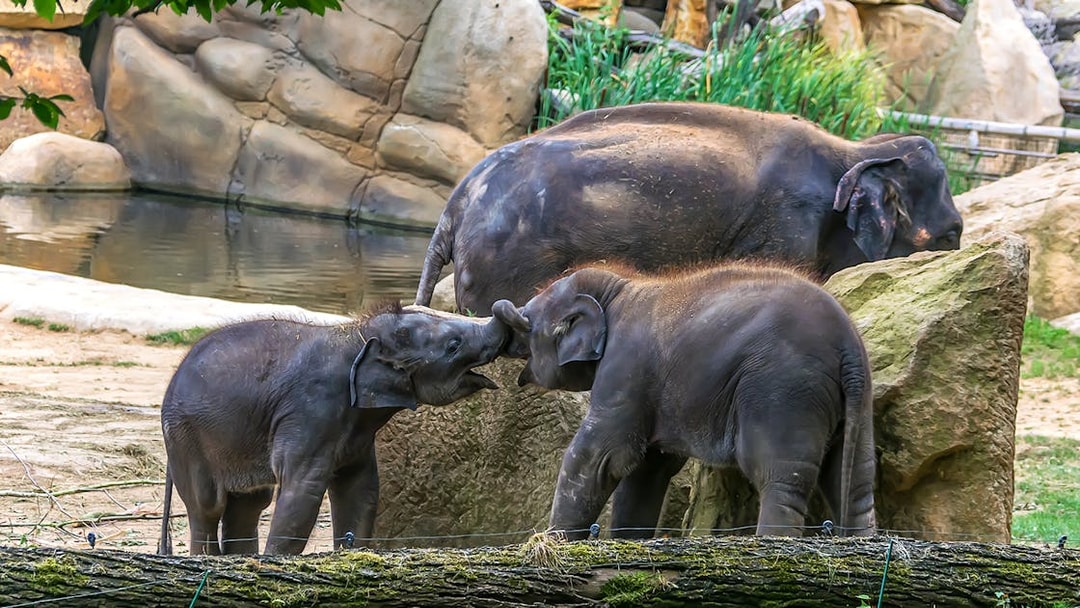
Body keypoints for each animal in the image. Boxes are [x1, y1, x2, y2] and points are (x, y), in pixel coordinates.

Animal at [157, 304, 507, 555]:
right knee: (207, 506)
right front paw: (276, 562)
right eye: (453, 345)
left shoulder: (357, 431)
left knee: (249, 504)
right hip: (186, 437)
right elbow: (302, 492)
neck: (358, 333)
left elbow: (360, 491)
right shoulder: (311, 411)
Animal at [415, 101, 963, 315]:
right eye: (951, 237)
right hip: (509, 259)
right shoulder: (788, 220)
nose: (955, 238)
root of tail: (453, 209)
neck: (855, 149)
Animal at [491, 262, 877, 539]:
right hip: (855, 400)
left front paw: (549, 544)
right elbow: (647, 468)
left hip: (784, 390)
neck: (618, 289)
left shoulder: (625, 369)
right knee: (855, 483)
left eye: (527, 324)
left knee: (779, 477)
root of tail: (847, 343)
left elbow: (601, 456)